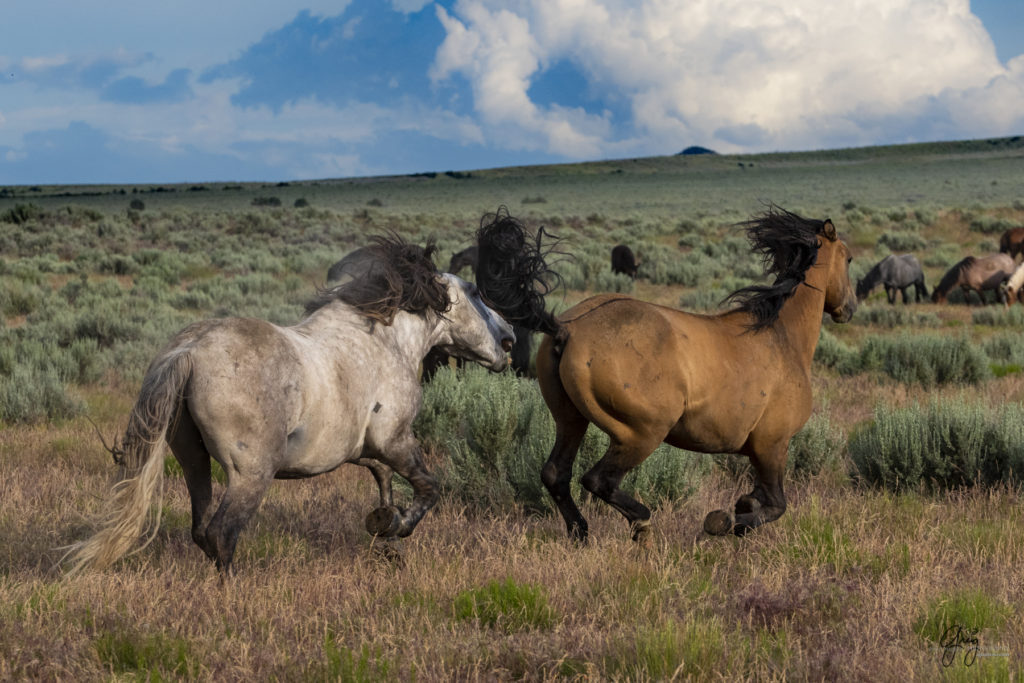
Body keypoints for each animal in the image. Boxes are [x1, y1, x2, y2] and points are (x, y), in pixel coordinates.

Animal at [59, 236, 516, 577]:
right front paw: (396, 529)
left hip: (192, 461)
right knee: (222, 533)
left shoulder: (363, 450)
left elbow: (385, 484)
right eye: (475, 292)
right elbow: (428, 488)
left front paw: (384, 535)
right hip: (251, 474)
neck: (385, 340)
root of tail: (189, 351)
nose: (509, 339)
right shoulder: (396, 440)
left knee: (201, 530)